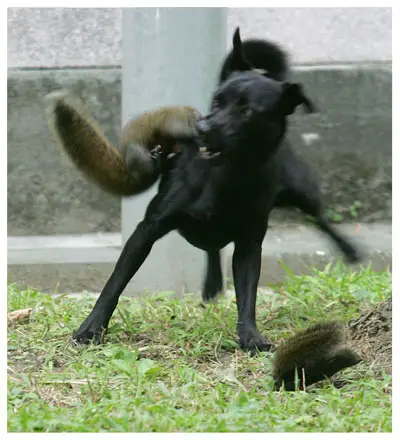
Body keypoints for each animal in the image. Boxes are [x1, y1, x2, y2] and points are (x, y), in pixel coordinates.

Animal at [43, 89, 203, 196]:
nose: (200, 119)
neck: (186, 113)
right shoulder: (174, 121)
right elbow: (182, 131)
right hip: (138, 154)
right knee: (149, 170)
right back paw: (157, 160)